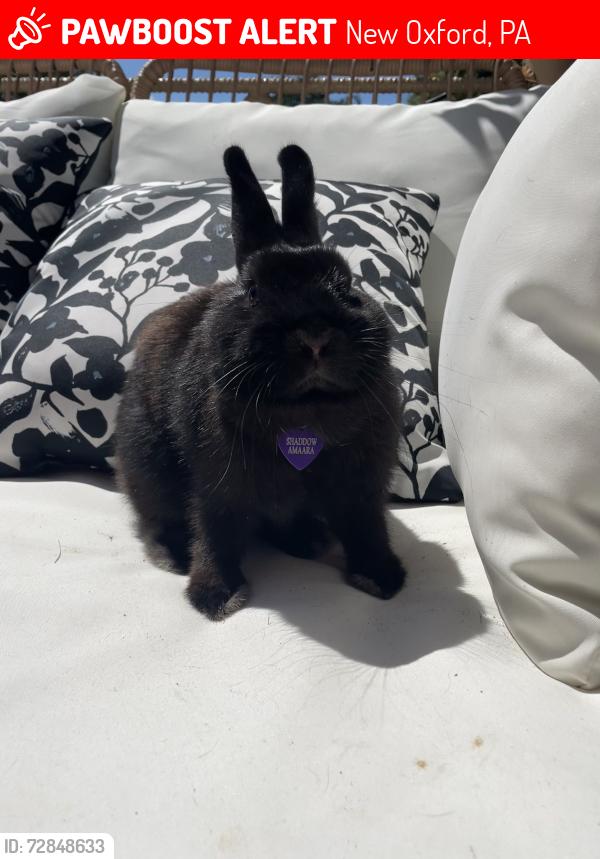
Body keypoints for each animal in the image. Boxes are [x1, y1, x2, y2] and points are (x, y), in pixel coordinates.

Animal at [116, 144, 406, 620]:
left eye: (348, 286)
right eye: (253, 292)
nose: (314, 335)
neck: (306, 410)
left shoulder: (362, 487)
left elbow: (368, 528)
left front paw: (382, 578)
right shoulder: (218, 486)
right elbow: (215, 534)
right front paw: (215, 597)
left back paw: (309, 540)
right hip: (147, 465)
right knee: (159, 518)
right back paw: (175, 556)